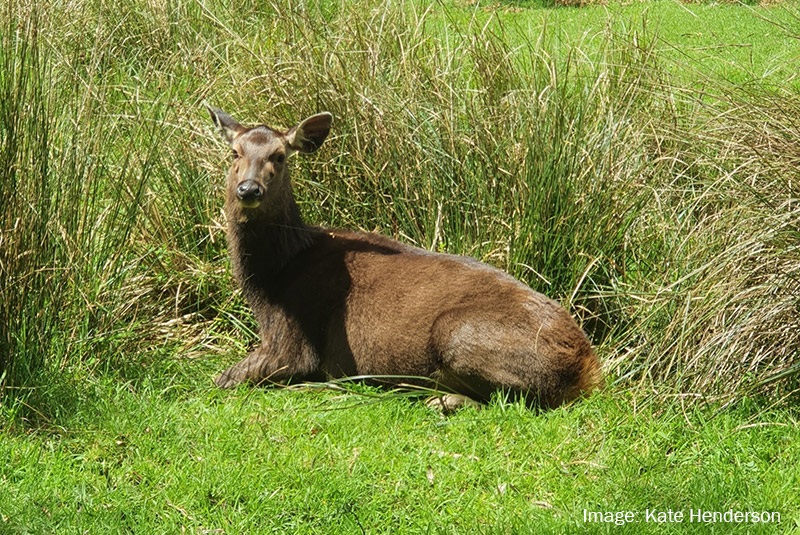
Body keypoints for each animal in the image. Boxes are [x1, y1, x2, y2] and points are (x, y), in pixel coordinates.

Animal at [206, 105, 600, 410]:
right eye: (234, 153)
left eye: (279, 156)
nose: (249, 189)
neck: (274, 278)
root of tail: (588, 370)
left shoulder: (293, 341)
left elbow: (224, 378)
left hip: (457, 331)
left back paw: (435, 398)